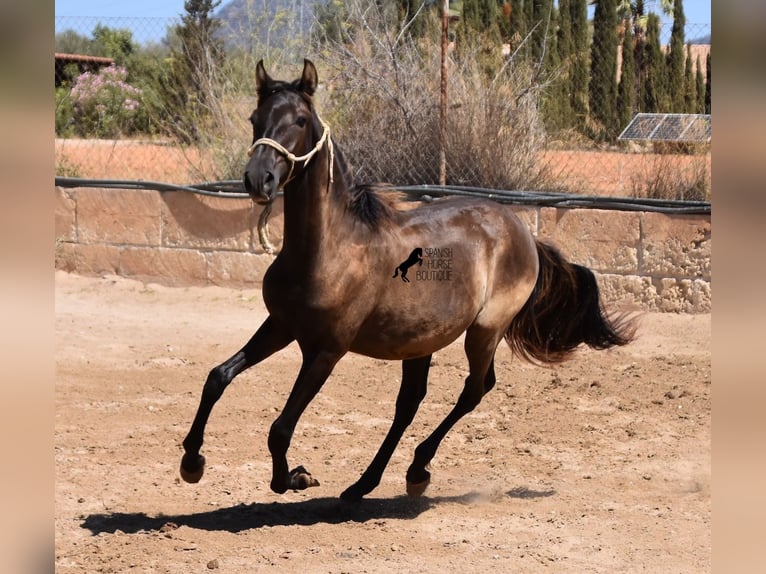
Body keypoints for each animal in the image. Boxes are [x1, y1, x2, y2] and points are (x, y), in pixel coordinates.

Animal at [178, 57, 636, 500]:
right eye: (256, 118)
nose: (259, 179)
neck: (329, 249)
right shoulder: (282, 325)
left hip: (485, 330)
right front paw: (191, 463)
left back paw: (416, 471)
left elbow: (280, 429)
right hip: (421, 341)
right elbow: (217, 377)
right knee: (411, 403)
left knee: (475, 389)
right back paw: (365, 484)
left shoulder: (326, 350)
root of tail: (524, 233)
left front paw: (297, 478)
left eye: (300, 120)